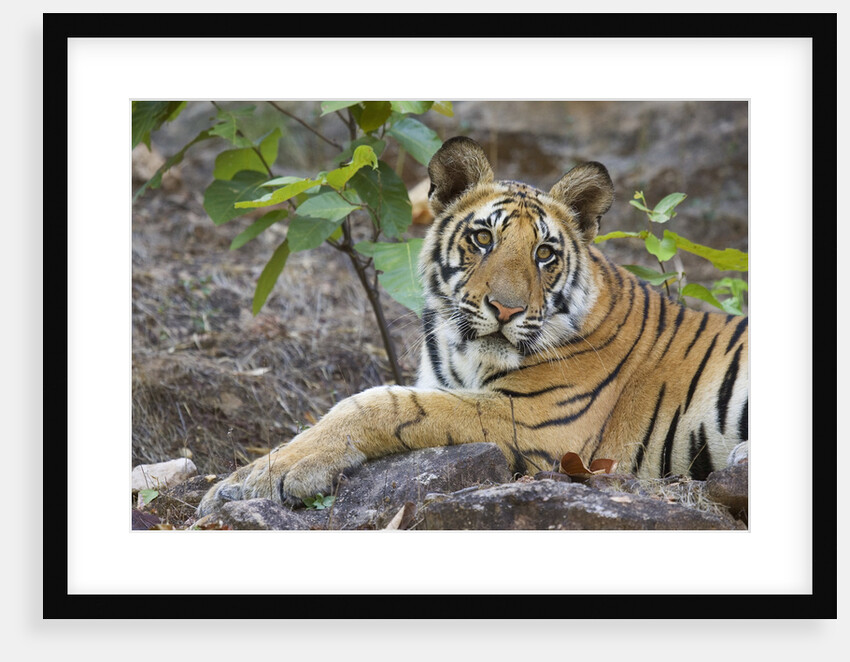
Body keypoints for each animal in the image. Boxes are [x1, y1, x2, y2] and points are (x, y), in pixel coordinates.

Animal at [197, 136, 749, 517]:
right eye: (483, 239)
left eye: (544, 253)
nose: (505, 309)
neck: (460, 350)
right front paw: (239, 479)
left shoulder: (536, 420)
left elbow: (382, 404)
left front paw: (276, 473)